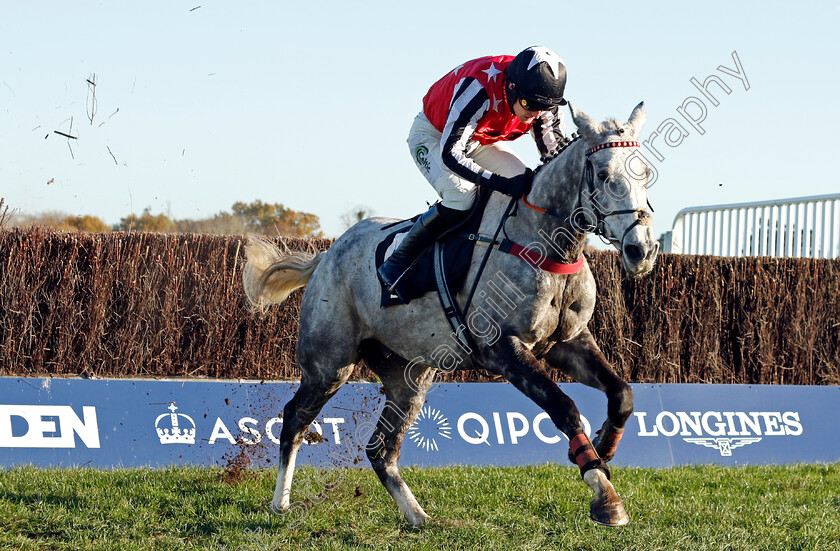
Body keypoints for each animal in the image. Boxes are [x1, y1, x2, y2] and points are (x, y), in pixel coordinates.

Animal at [243, 101, 656, 528]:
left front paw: (603, 448)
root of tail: (327, 254)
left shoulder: (568, 342)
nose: (641, 251)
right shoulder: (502, 349)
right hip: (329, 363)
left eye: (646, 172)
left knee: (380, 449)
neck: (544, 241)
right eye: (604, 174)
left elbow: (622, 394)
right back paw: (281, 503)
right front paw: (603, 493)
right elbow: (565, 408)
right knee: (295, 418)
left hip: (409, 377)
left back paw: (416, 515)